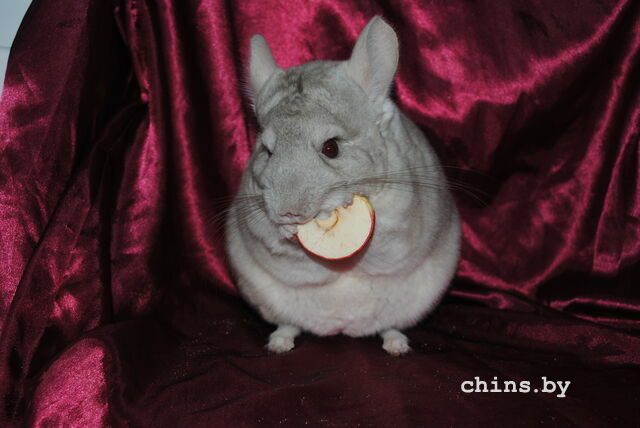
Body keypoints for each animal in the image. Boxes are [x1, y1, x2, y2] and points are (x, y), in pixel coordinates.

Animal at [225, 16, 460, 356]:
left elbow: (383, 235)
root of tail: (342, 327)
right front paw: (287, 230)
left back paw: (397, 346)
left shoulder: (400, 220)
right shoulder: (254, 218)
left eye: (331, 147)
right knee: (289, 324)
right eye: (267, 151)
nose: (288, 212)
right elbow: (274, 238)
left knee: (390, 327)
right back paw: (279, 343)